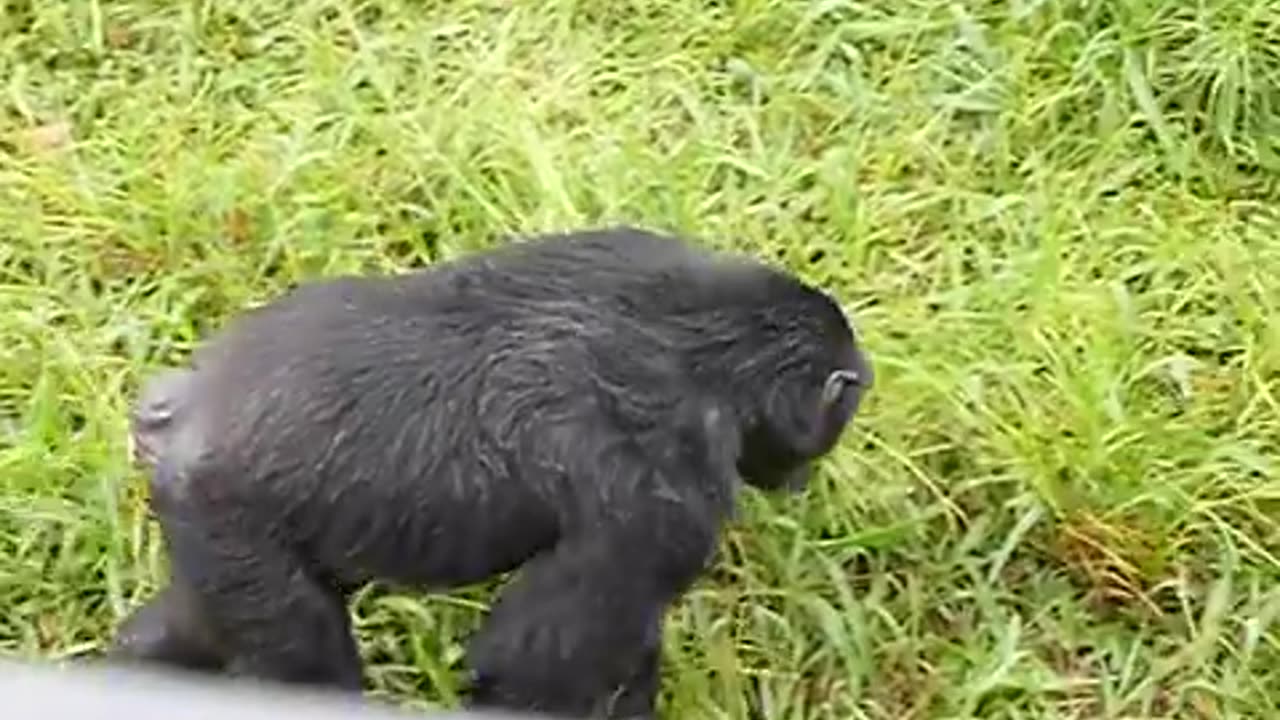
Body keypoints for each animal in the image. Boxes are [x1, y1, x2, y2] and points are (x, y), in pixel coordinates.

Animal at [110, 226, 875, 717]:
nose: (802, 477)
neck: (713, 348)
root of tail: (173, 411)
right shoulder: (664, 497)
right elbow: (528, 670)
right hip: (228, 520)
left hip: (211, 534)